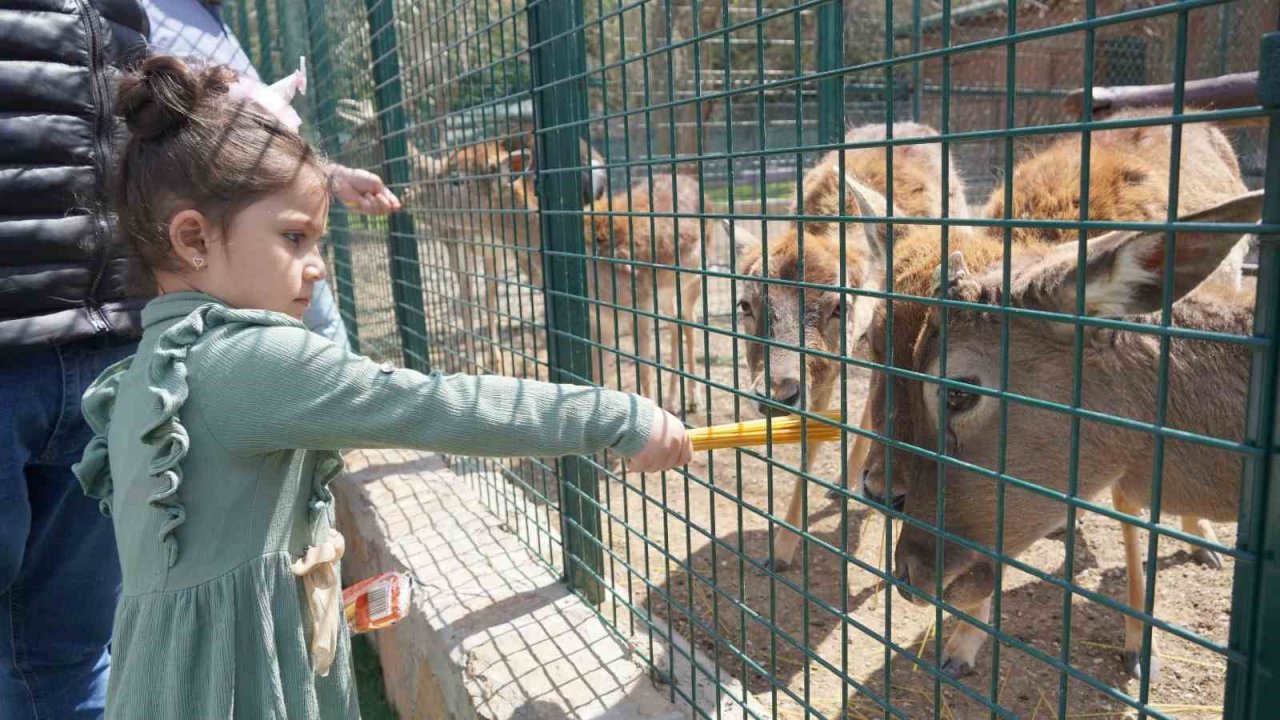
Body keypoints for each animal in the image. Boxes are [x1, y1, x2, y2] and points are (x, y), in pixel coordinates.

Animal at [583, 170, 706, 412]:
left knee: (689, 323)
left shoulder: (639, 308)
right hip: (665, 293)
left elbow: (645, 368)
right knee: (675, 322)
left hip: (692, 280)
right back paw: (671, 400)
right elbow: (597, 373)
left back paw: (694, 400)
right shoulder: (600, 322)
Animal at [849, 110, 1259, 676]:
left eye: (957, 392)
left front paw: (1139, 647)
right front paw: (960, 646)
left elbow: (1128, 505)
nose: (878, 489)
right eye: (872, 341)